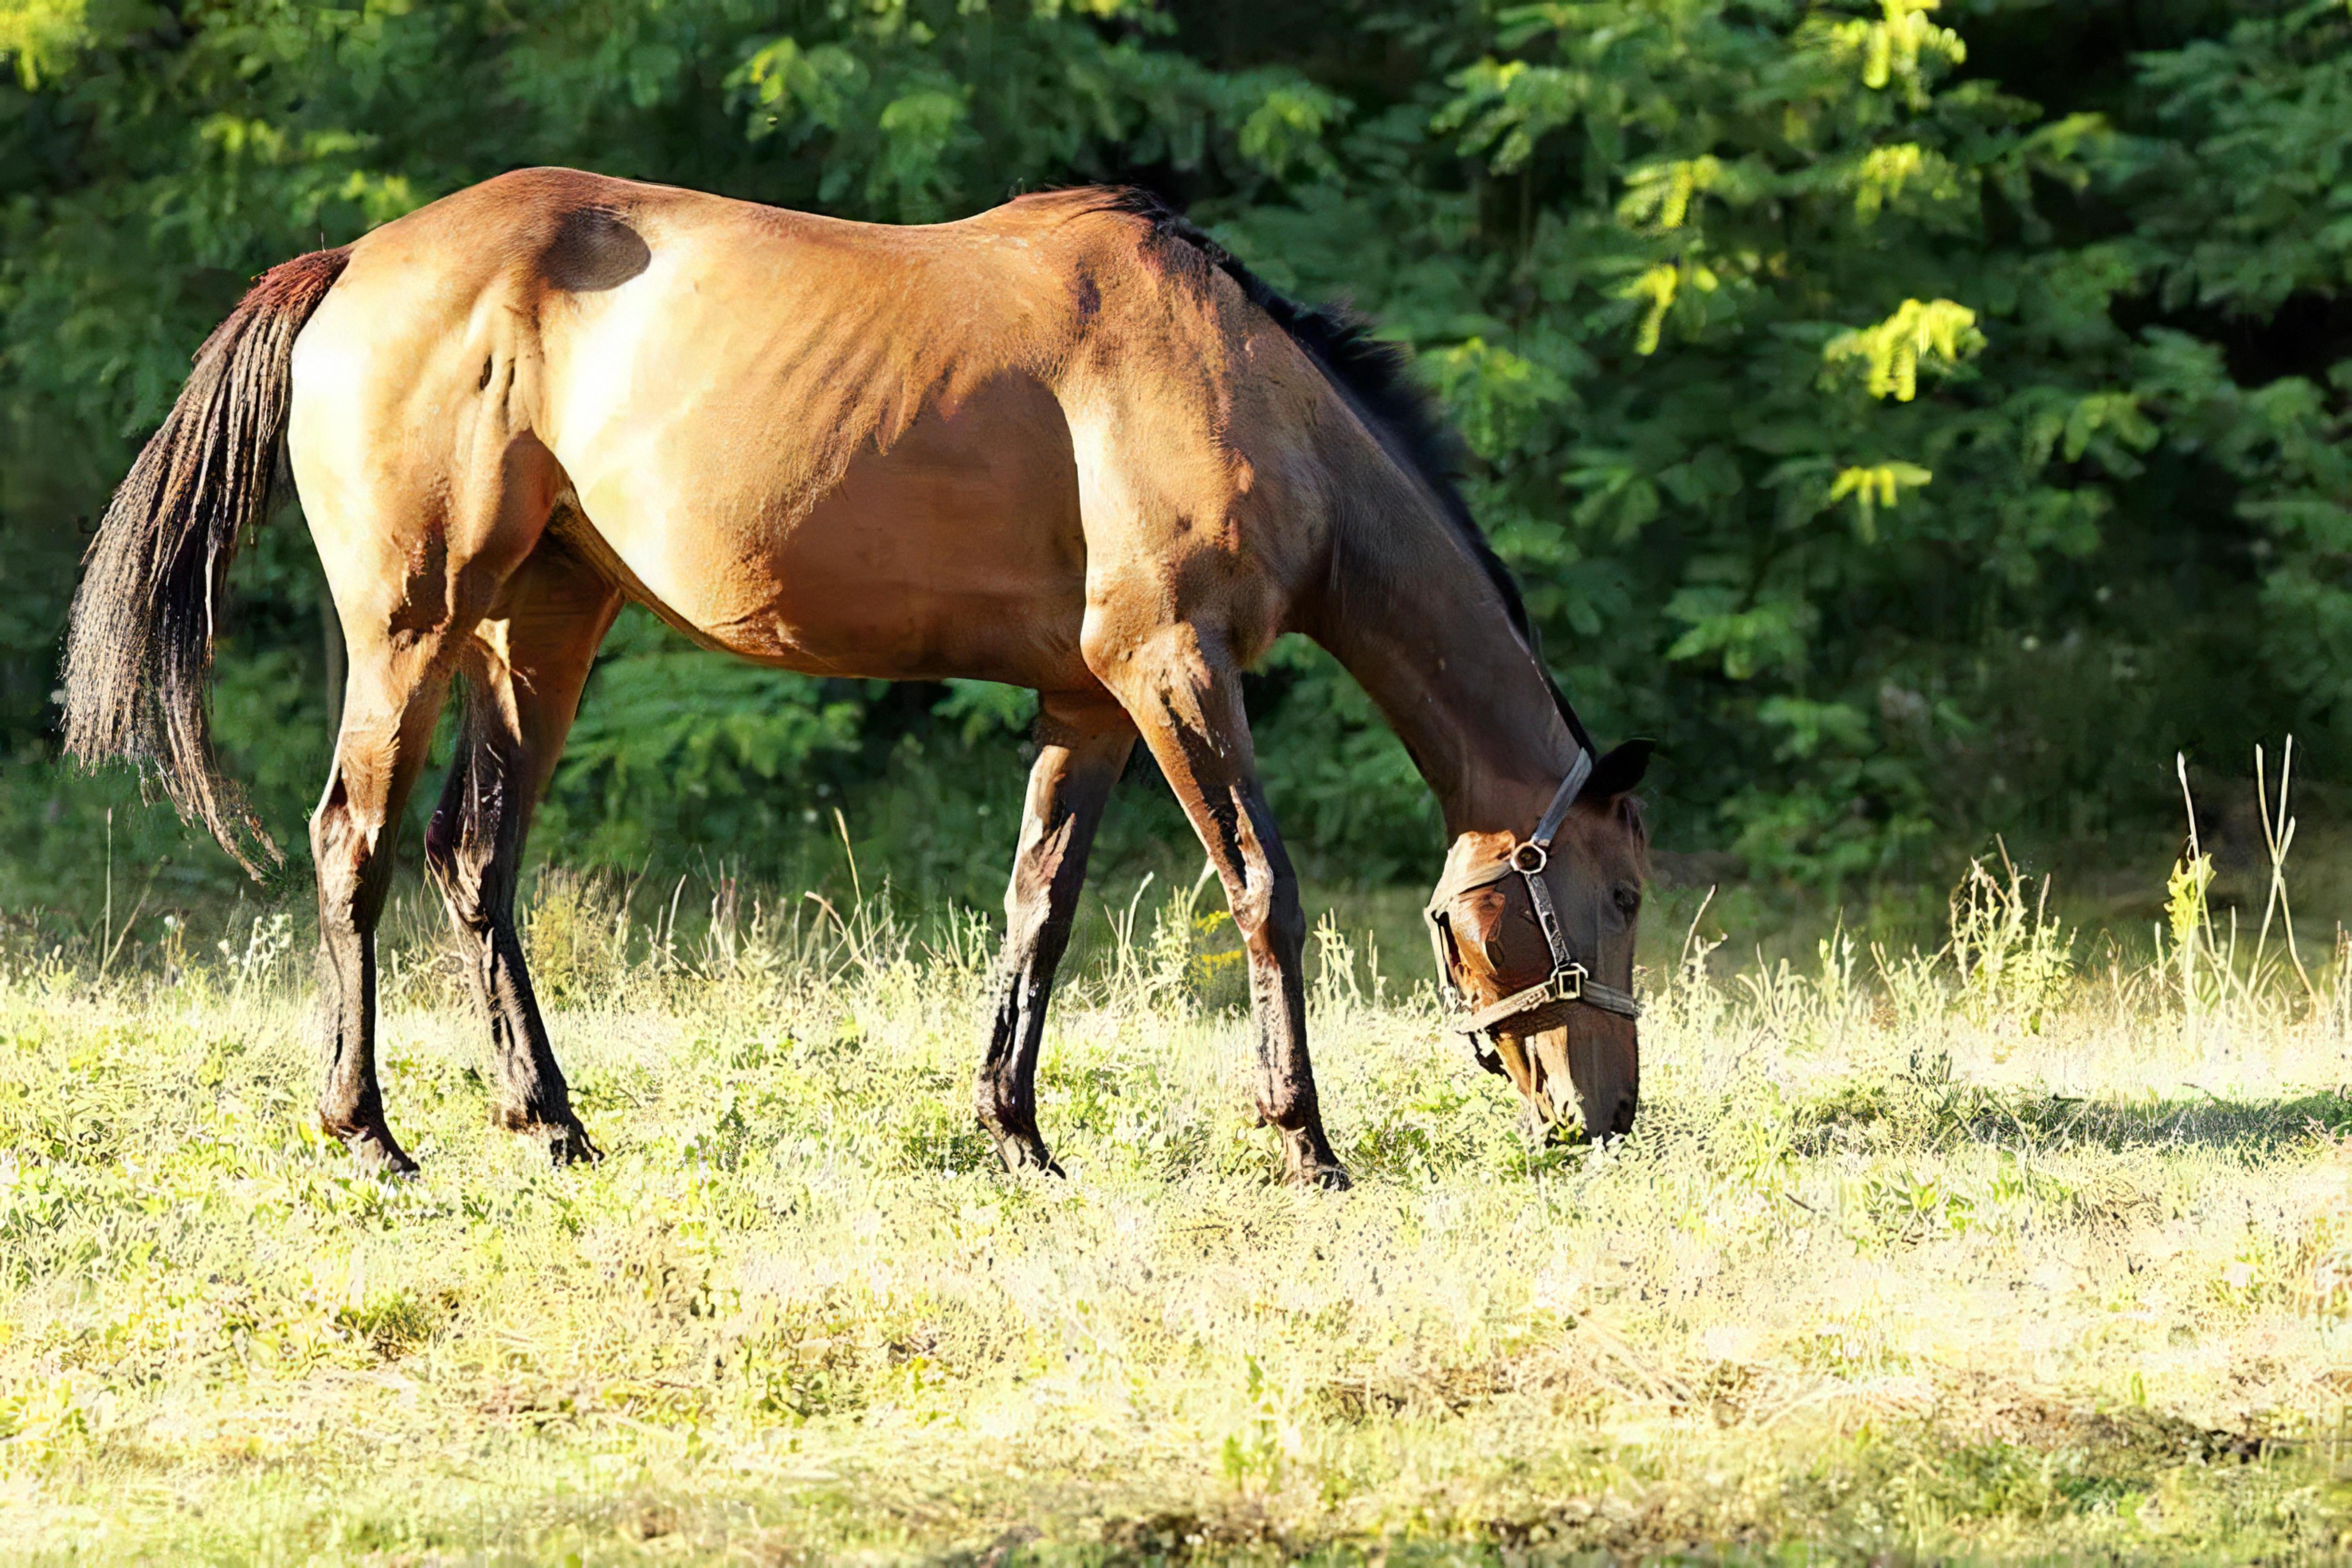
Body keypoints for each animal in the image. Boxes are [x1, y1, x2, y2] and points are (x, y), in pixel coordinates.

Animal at [68, 166, 1656, 1185]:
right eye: (1626, 895)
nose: (1611, 1116)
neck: (1241, 385)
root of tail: (352, 264)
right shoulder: (1171, 668)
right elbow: (1264, 886)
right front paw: (1304, 1139)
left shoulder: (1089, 702)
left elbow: (1040, 906)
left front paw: (1016, 1133)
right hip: (412, 627)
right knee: (358, 840)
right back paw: (370, 1134)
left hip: (545, 628)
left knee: (475, 855)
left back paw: (552, 1124)